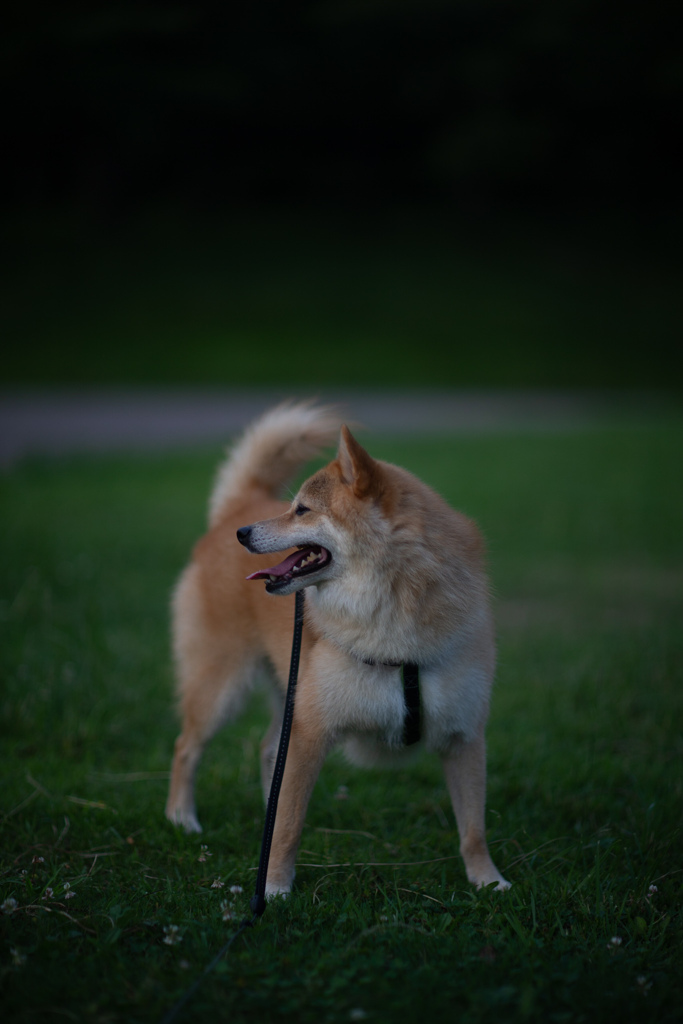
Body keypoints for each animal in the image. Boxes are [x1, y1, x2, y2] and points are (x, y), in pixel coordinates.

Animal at [163, 403, 507, 892]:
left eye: (302, 510)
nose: (243, 534)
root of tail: (238, 507)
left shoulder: (464, 736)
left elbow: (473, 829)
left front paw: (488, 882)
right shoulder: (310, 731)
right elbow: (290, 826)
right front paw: (274, 888)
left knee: (267, 752)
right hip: (221, 687)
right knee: (186, 748)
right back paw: (182, 818)